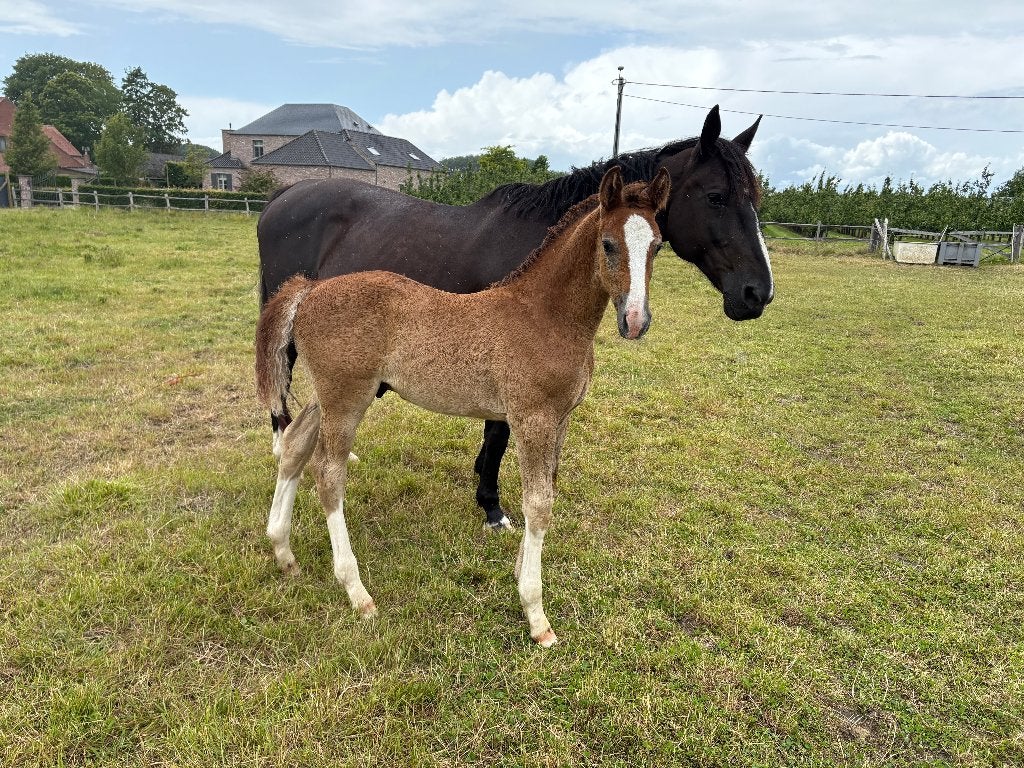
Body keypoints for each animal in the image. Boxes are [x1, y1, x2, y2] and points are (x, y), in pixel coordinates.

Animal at [255, 167, 670, 646]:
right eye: (607, 243)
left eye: (657, 245)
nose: (635, 321)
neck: (543, 315)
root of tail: (309, 289)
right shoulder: (532, 418)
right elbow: (538, 504)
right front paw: (536, 615)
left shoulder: (560, 420)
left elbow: (546, 492)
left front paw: (520, 575)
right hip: (346, 399)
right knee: (328, 475)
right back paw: (357, 592)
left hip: (329, 397)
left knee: (294, 446)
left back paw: (283, 551)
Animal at [257, 105, 773, 528]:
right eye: (716, 196)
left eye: (756, 198)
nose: (757, 293)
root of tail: (282, 197)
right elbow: (499, 434)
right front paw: (491, 504)